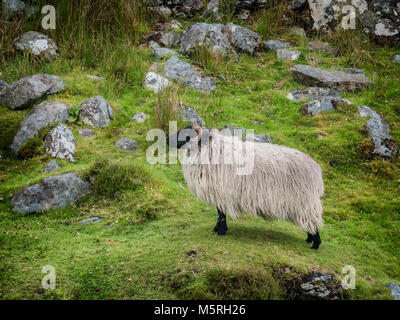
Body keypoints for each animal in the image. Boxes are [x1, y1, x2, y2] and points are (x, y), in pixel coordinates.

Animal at [169, 125, 324, 250]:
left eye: (185, 134)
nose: (167, 140)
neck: (208, 149)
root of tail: (316, 169)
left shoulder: (221, 191)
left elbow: (221, 213)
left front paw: (220, 231)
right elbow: (220, 212)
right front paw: (218, 229)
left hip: (305, 202)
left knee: (313, 223)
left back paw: (315, 245)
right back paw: (308, 240)